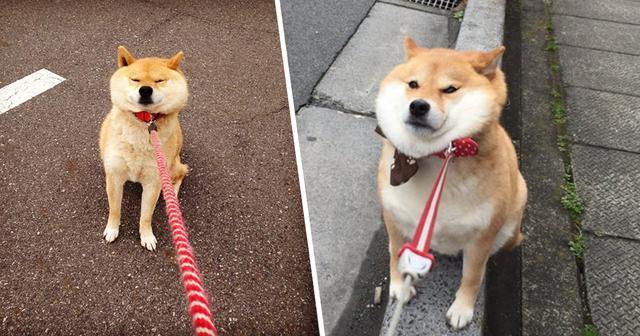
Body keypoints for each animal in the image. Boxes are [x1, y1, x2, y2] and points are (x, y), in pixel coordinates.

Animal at [97, 46, 188, 251]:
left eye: (159, 80)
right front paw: (112, 229)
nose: (145, 89)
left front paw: (146, 236)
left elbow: (145, 216)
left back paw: (171, 196)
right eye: (135, 79)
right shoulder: (114, 176)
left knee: (181, 174)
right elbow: (115, 210)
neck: (145, 121)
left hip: (172, 167)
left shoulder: (154, 181)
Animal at [376, 36, 524, 328]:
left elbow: (472, 276)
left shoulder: (481, 237)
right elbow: (395, 251)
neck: (436, 157)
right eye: (413, 84)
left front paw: (462, 308)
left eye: (450, 89)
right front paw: (399, 286)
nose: (418, 105)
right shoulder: (393, 217)